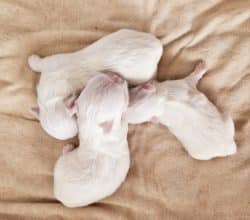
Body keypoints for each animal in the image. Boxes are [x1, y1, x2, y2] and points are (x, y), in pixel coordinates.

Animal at [29, 28, 163, 139]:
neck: (52, 100)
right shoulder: (51, 63)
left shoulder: (54, 61)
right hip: (127, 33)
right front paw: (32, 60)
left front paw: (32, 59)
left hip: (144, 74)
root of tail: (157, 46)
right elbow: (40, 64)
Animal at [54, 73, 130, 207]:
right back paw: (68, 148)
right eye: (124, 95)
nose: (117, 76)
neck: (91, 124)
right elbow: (124, 122)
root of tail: (58, 196)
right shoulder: (120, 129)